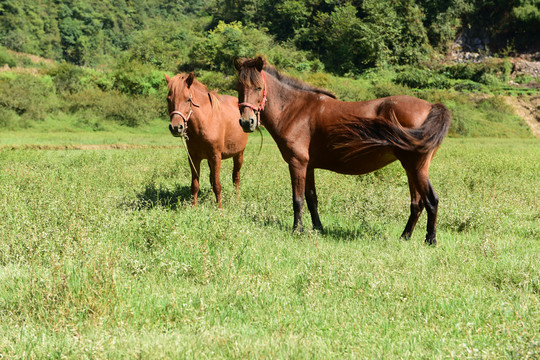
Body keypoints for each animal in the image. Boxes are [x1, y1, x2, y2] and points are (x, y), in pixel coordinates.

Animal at [167, 72, 249, 208]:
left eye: (188, 99)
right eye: (168, 99)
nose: (176, 127)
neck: (206, 121)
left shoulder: (216, 157)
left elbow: (217, 185)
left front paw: (220, 209)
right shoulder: (194, 158)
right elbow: (195, 185)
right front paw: (193, 208)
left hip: (239, 154)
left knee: (236, 178)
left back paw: (237, 200)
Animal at [236, 57, 452, 245]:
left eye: (259, 87)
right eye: (239, 88)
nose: (247, 122)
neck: (293, 109)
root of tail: (431, 107)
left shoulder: (297, 163)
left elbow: (297, 199)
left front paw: (297, 230)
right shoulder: (309, 166)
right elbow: (312, 199)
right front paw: (318, 229)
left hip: (416, 167)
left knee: (431, 200)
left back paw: (430, 240)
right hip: (410, 168)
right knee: (417, 203)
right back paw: (405, 237)